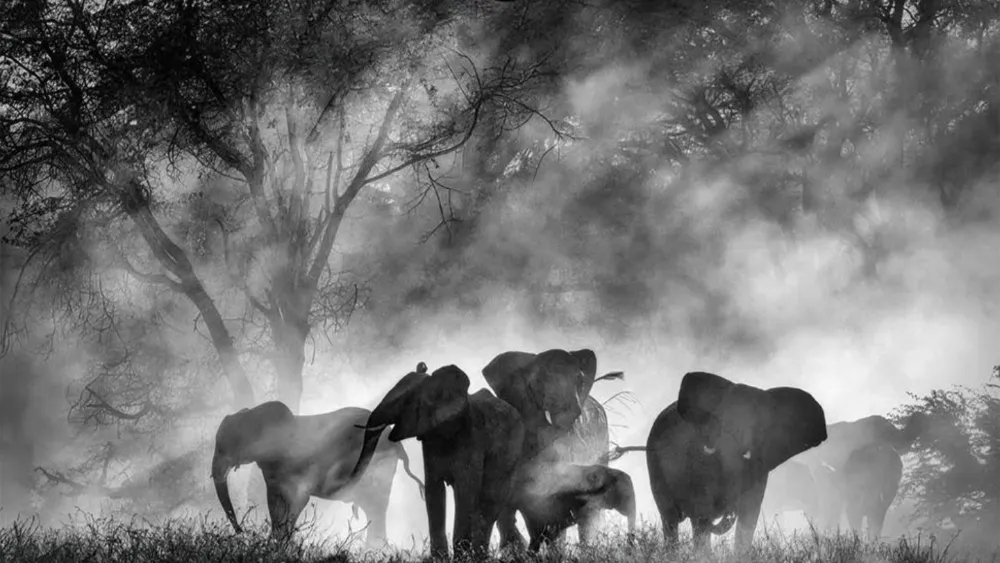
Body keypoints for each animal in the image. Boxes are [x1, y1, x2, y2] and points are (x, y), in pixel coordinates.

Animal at [211, 401, 425, 544]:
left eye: (224, 447)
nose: (243, 532)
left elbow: (296, 500)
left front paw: (278, 543)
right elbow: (276, 502)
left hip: (378, 468)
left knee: (376, 507)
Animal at [351, 362, 524, 560]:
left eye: (405, 402)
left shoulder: (471, 438)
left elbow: (465, 491)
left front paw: (461, 558)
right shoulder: (430, 441)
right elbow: (433, 491)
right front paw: (439, 558)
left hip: (511, 455)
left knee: (490, 501)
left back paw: (480, 556)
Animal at [645, 371, 827, 551]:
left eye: (761, 428)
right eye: (722, 425)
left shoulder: (760, 466)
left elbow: (749, 514)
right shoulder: (697, 457)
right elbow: (702, 512)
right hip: (655, 466)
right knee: (670, 519)